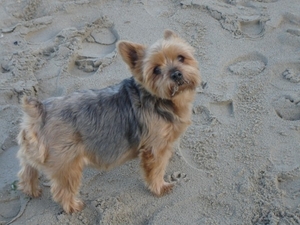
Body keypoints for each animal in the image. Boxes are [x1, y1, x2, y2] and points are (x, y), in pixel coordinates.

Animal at [15, 29, 199, 213]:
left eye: (181, 57)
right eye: (156, 70)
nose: (176, 73)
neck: (163, 100)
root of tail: (39, 112)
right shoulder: (154, 148)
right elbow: (156, 169)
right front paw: (160, 187)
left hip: (33, 151)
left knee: (27, 170)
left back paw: (30, 189)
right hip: (67, 162)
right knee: (62, 189)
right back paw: (74, 206)